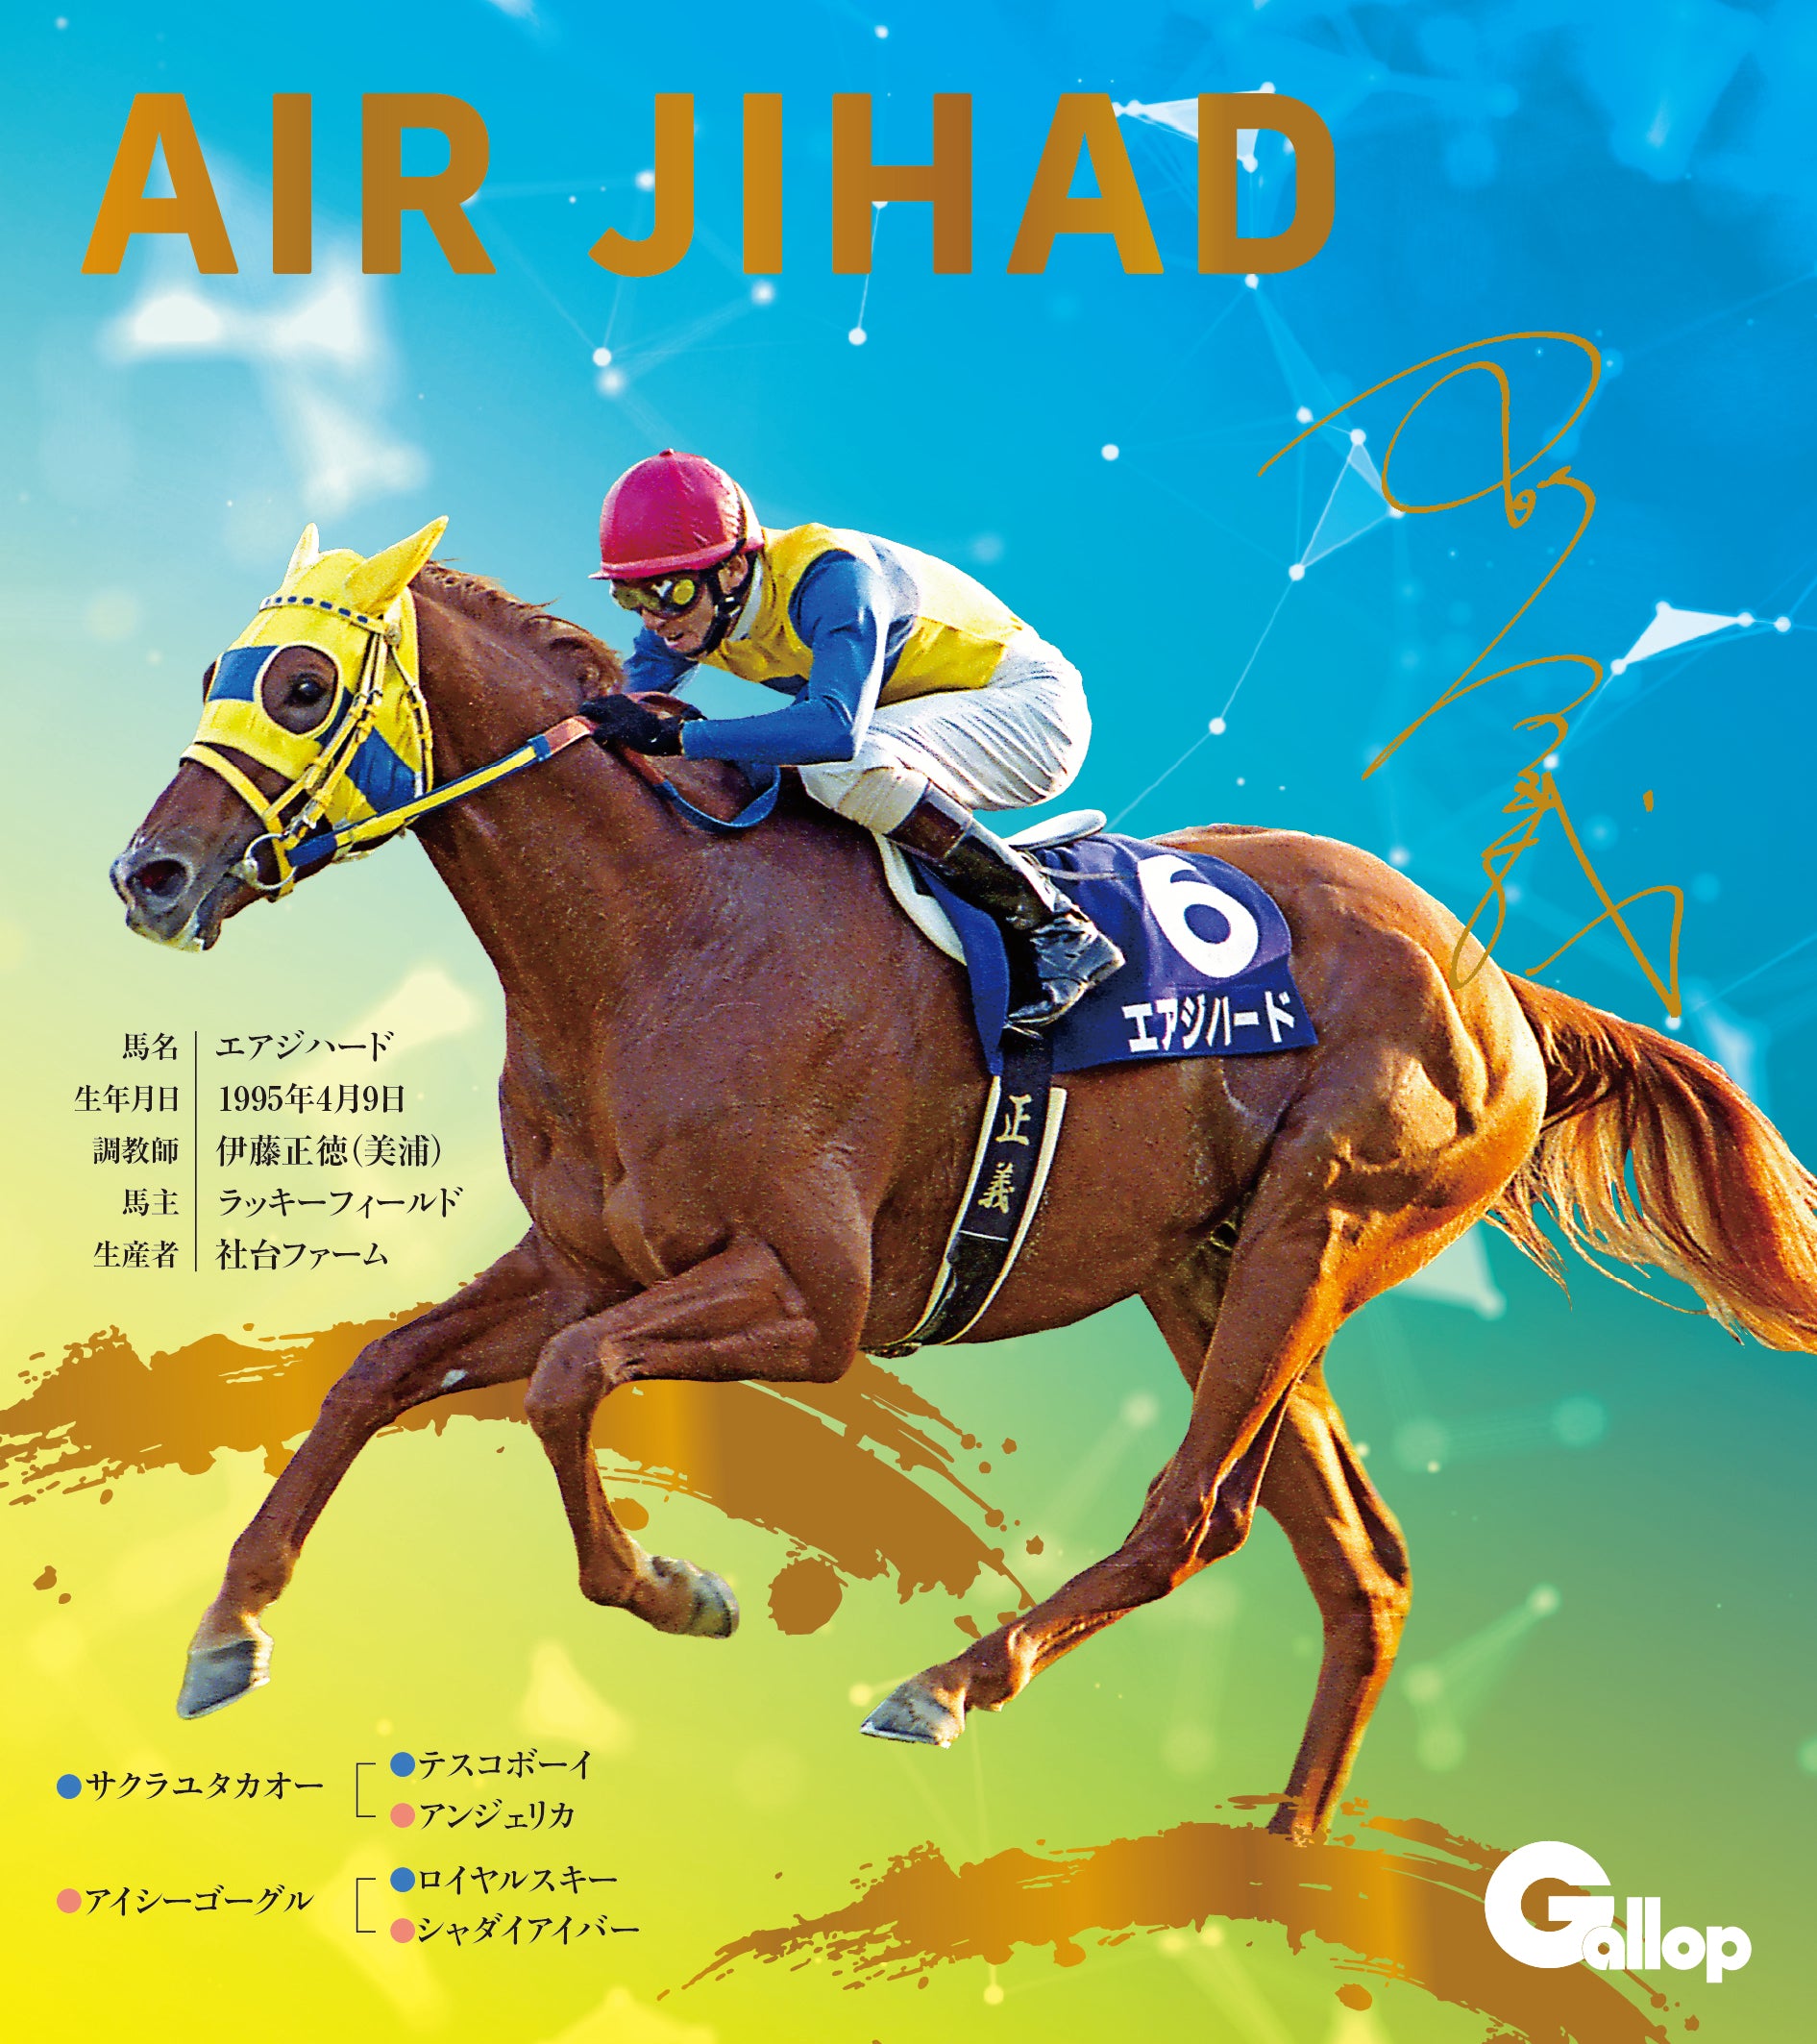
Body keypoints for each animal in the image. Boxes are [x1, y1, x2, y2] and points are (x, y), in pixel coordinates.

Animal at [111, 519, 1817, 1845]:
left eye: (303, 685)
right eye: (210, 678)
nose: (149, 877)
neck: (657, 939)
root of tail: (1494, 979)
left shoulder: (812, 1299)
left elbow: (566, 1383)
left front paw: (673, 1585)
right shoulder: (588, 1256)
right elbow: (379, 1367)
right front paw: (227, 1627)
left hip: (1316, 1228)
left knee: (1196, 1514)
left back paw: (947, 1686)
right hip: (1204, 1267)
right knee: (1357, 1563)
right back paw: (1280, 1864)